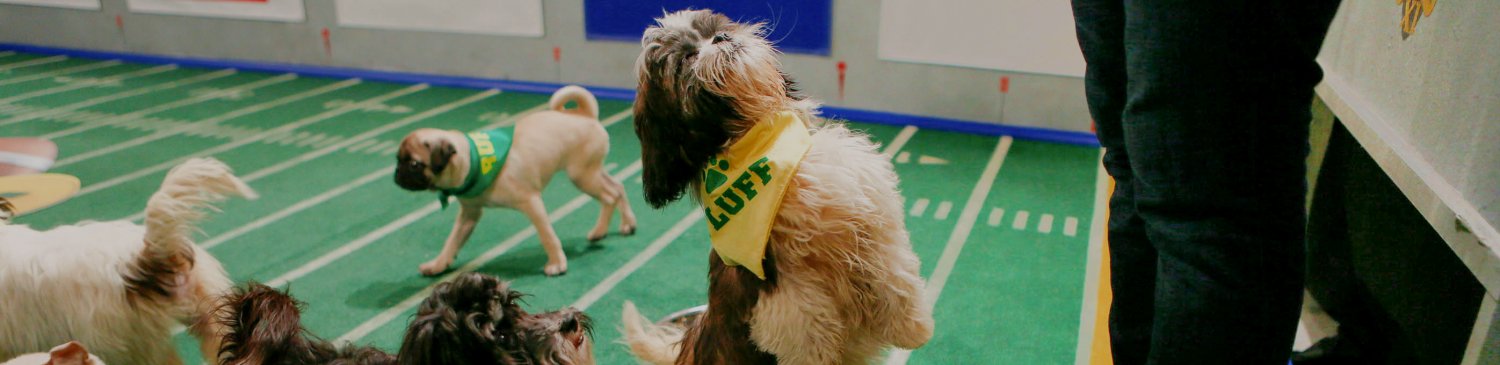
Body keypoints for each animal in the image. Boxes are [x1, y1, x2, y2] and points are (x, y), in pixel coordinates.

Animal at [396, 86, 636, 276]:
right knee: (618, 187)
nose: (396, 174)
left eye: (414, 164)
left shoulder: (532, 202)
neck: (473, 160)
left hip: (581, 175)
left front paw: (557, 263)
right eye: (398, 159)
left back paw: (600, 231)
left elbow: (547, 235)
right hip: (591, 171)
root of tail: (585, 114)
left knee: (609, 196)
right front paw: (438, 264)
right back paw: (627, 224)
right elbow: (452, 242)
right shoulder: (468, 215)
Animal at [615, 7, 930, 365]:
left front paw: (913, 328)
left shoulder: (871, 220)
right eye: (687, 58)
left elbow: (895, 275)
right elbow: (806, 330)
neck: (762, 141)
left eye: (713, 29)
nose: (721, 38)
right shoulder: (785, 295)